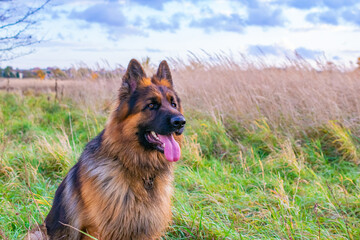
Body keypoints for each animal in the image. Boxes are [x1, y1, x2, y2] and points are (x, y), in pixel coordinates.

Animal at [26, 59, 186, 240]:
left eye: (173, 104)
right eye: (151, 105)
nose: (181, 122)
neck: (139, 172)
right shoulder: (96, 231)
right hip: (37, 233)